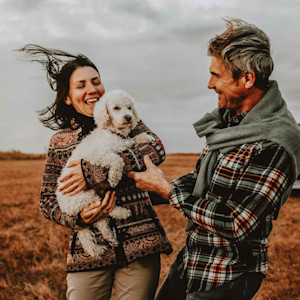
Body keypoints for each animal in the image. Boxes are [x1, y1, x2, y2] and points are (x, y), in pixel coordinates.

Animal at [56, 89, 155, 258]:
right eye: (116, 108)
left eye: (129, 107)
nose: (129, 117)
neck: (113, 133)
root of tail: (67, 209)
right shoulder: (97, 155)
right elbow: (117, 159)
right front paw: (114, 177)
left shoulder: (126, 143)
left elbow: (134, 139)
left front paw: (147, 137)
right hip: (87, 197)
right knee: (104, 209)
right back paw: (122, 213)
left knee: (102, 222)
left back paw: (113, 237)